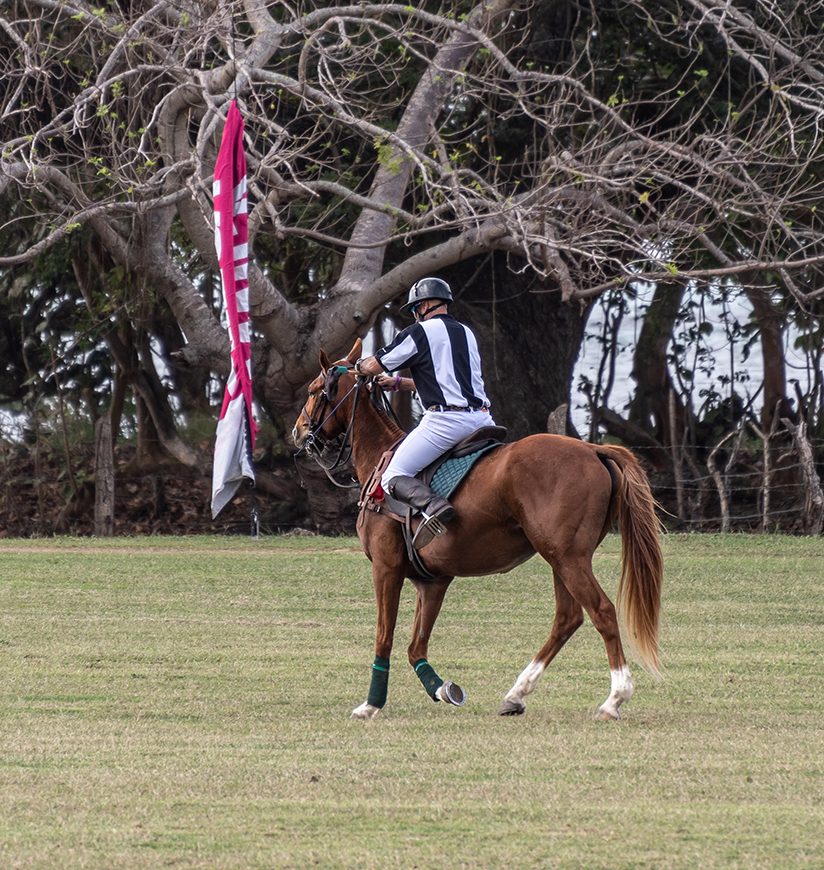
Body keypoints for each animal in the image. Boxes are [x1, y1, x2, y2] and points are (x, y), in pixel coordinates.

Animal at [292, 340, 664, 724]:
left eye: (314, 390)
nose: (299, 431)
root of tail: (594, 448)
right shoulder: (433, 581)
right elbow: (416, 646)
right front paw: (443, 689)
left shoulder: (386, 567)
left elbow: (385, 636)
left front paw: (371, 704)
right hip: (563, 557)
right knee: (567, 618)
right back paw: (516, 694)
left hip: (568, 558)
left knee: (602, 611)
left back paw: (614, 699)